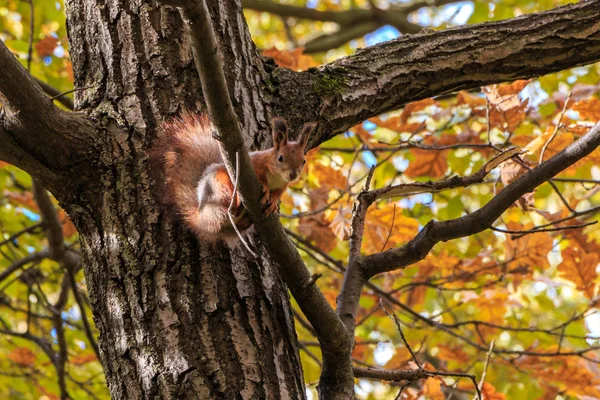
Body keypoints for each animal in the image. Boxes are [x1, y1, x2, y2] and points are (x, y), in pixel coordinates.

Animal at [159, 112, 318, 244]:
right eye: (280, 158)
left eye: (304, 161)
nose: (293, 175)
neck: (276, 176)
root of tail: (200, 218)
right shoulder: (253, 164)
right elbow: (260, 178)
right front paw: (266, 188)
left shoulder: (283, 185)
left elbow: (278, 193)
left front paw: (273, 201)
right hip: (218, 187)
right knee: (228, 198)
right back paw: (236, 201)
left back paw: (245, 220)